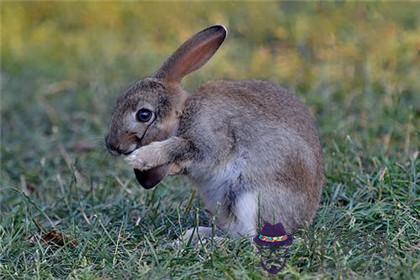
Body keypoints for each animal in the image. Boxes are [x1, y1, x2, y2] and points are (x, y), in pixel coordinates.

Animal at [105, 24, 324, 238]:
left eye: (143, 115)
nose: (112, 146)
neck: (182, 114)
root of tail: (300, 222)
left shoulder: (211, 139)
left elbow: (181, 146)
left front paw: (140, 158)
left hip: (247, 196)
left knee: (246, 238)